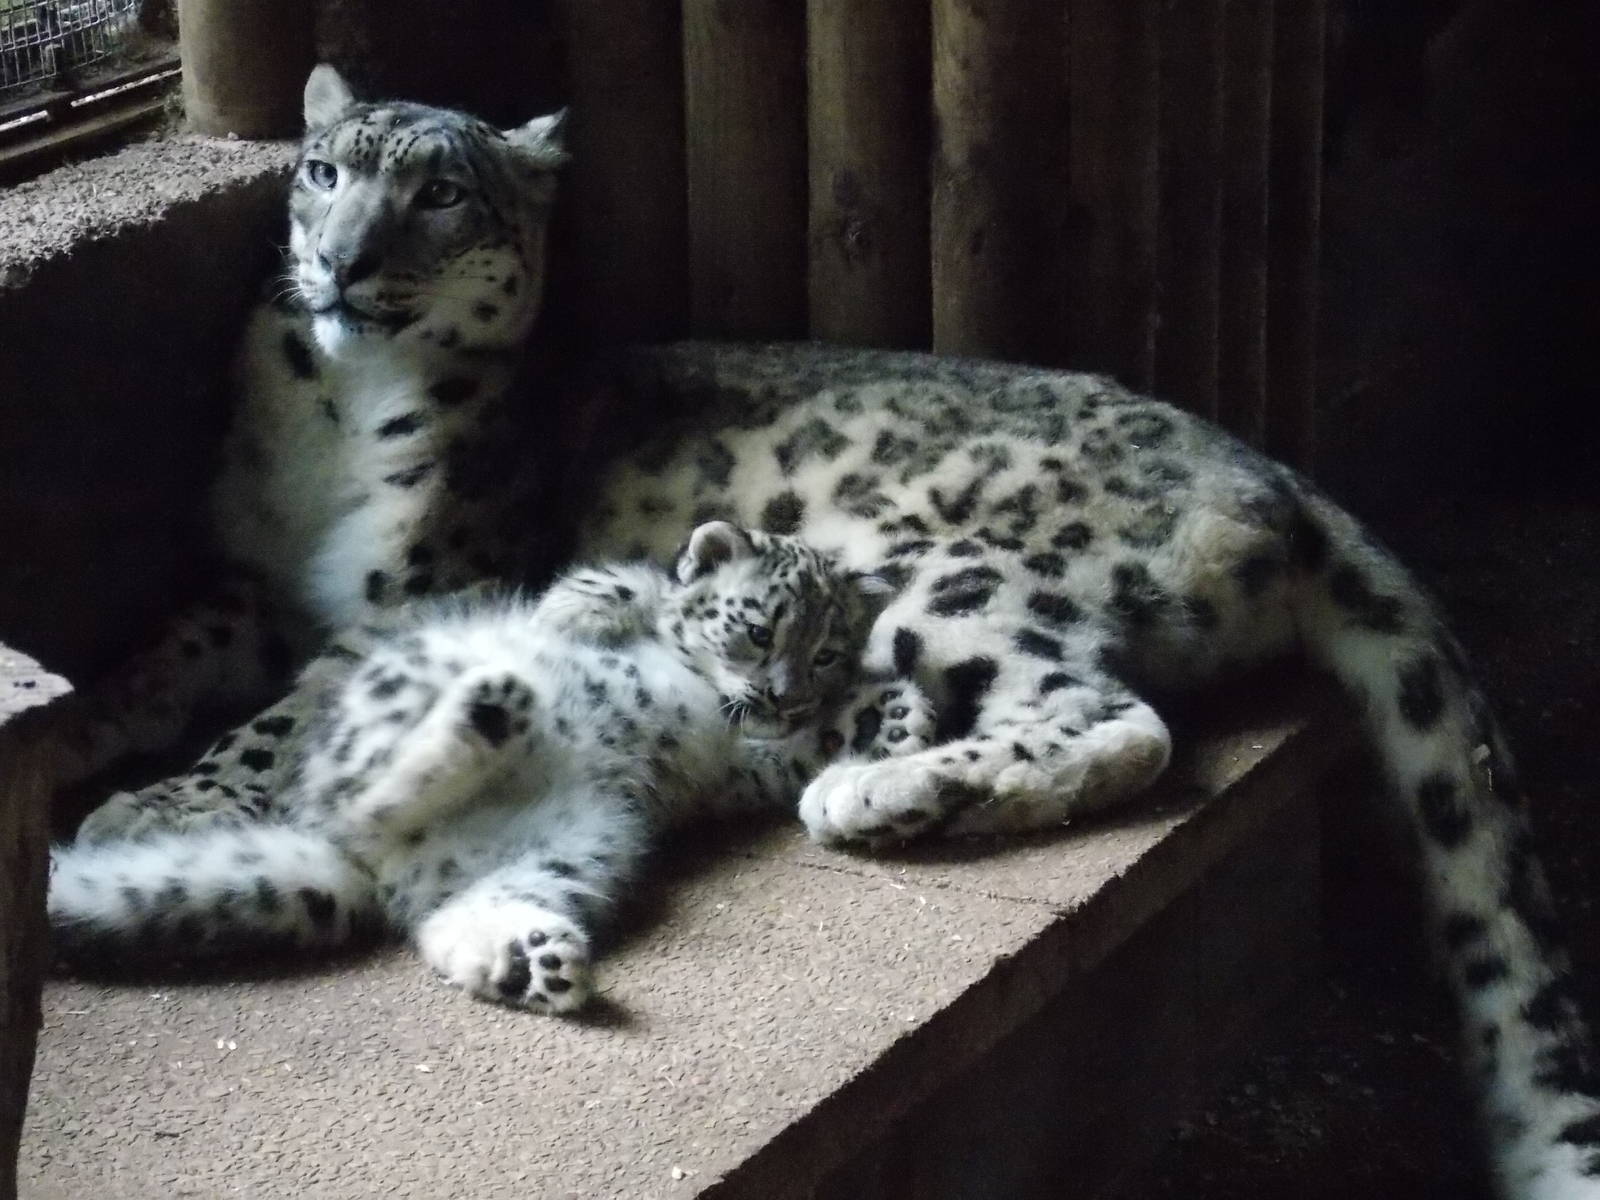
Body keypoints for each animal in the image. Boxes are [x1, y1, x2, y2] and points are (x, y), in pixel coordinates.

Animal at [49, 521, 932, 1011]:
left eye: (825, 653)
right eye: (757, 629)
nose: (785, 695)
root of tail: (365, 866)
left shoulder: (753, 765)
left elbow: (809, 746)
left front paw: (896, 714)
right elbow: (621, 585)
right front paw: (579, 614)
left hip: (571, 845)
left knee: (443, 912)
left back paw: (527, 959)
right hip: (391, 701)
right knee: (364, 788)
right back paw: (493, 701)